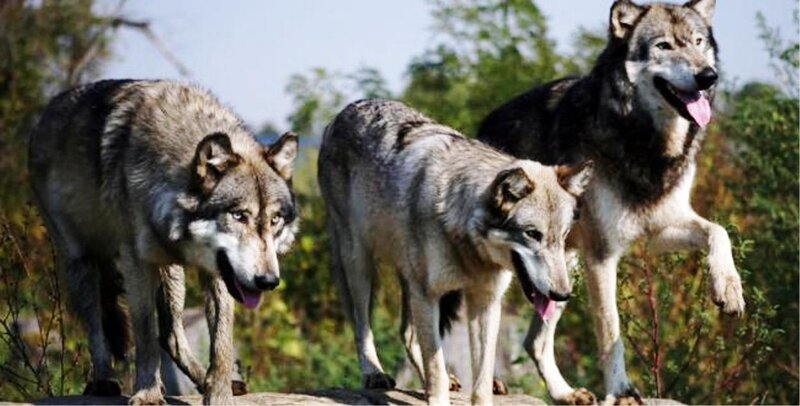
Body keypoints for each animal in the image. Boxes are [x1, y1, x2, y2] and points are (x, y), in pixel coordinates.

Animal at [29, 80, 299, 405]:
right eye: (239, 215)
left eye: (275, 220)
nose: (268, 281)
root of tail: (46, 113)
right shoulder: (136, 262)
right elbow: (145, 333)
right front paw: (147, 394)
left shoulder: (220, 272)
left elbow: (221, 342)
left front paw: (219, 394)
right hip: (82, 262)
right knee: (98, 326)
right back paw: (104, 381)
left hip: (171, 271)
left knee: (171, 336)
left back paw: (207, 381)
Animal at [318, 99, 593, 405]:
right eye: (533, 234)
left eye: (563, 237)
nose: (563, 295)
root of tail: (344, 113)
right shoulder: (428, 295)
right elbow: (436, 364)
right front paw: (436, 396)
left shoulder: (485, 302)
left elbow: (481, 375)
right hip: (362, 267)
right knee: (362, 325)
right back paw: (374, 373)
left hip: (409, 282)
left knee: (407, 334)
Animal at [477, 0, 744, 403]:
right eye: (664, 46)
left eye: (699, 42)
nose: (707, 77)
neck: (647, 145)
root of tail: (483, 126)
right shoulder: (603, 255)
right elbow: (610, 331)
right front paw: (621, 391)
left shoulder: (658, 229)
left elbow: (719, 231)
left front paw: (728, 288)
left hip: (562, 272)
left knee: (534, 342)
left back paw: (564, 392)